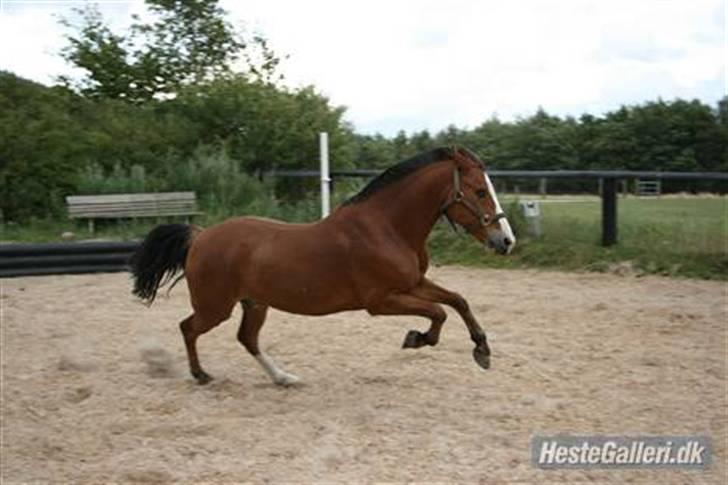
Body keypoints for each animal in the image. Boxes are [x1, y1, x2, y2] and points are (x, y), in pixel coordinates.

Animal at [130, 146, 515, 386]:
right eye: (480, 191)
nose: (506, 241)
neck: (386, 227)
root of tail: (200, 235)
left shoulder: (413, 283)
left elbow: (457, 300)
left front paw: (482, 351)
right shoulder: (381, 301)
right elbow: (439, 312)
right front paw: (417, 339)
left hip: (255, 303)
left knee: (246, 338)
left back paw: (283, 378)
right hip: (216, 307)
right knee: (188, 328)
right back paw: (201, 375)